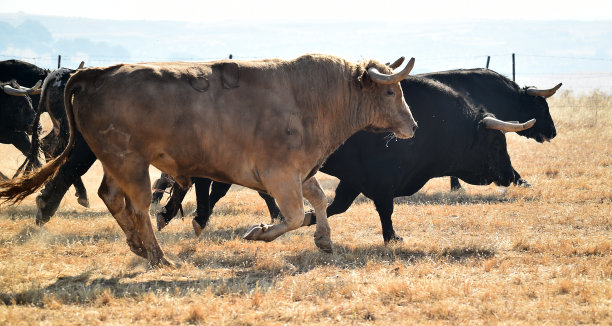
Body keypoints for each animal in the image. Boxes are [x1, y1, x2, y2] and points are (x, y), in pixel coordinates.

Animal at [0, 54, 418, 268]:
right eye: (391, 91)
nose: (413, 126)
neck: (309, 96)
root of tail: (94, 73)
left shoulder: (301, 172)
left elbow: (317, 202)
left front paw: (324, 240)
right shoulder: (280, 175)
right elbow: (296, 214)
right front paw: (259, 232)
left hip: (116, 161)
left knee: (113, 197)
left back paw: (138, 246)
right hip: (130, 161)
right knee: (136, 205)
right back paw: (157, 256)